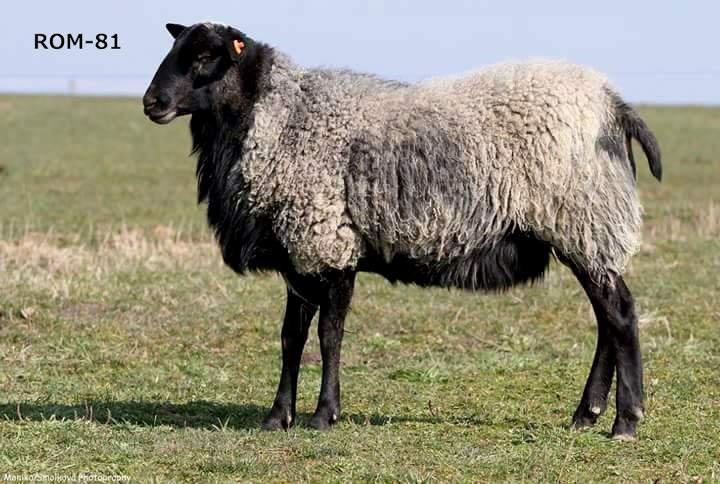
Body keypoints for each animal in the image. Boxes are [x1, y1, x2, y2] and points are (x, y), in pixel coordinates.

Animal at [143, 21, 662, 440]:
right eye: (176, 49)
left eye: (206, 57)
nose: (152, 102)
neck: (276, 121)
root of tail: (612, 102)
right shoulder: (299, 252)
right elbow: (291, 338)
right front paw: (277, 417)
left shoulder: (331, 244)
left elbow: (329, 336)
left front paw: (324, 415)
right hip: (585, 230)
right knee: (607, 318)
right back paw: (587, 414)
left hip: (582, 220)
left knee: (619, 315)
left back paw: (626, 421)